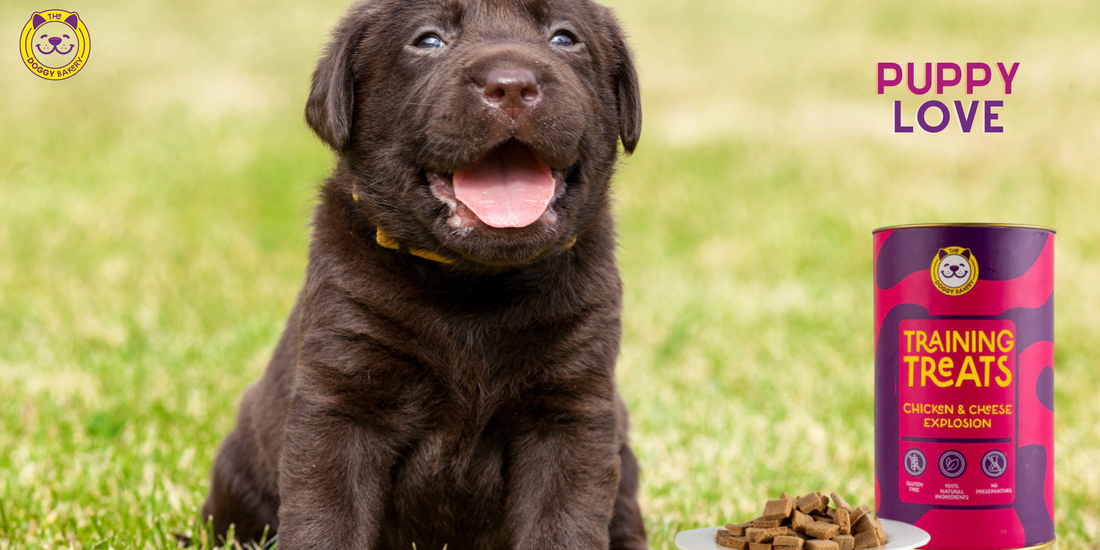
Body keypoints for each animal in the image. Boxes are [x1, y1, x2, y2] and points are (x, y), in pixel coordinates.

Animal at [201, 0, 642, 547]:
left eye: (564, 38)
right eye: (428, 40)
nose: (511, 85)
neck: (474, 289)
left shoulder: (571, 412)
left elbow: (563, 524)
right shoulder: (341, 400)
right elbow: (326, 517)